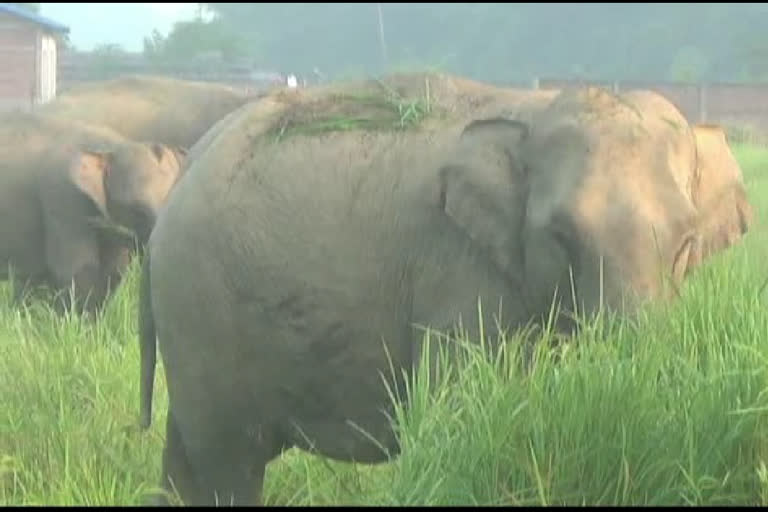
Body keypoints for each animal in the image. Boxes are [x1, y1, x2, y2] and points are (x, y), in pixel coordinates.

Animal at [135, 83, 728, 504]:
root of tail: (184, 171)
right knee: (227, 466)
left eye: (686, 241)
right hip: (201, 313)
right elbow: (463, 413)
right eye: (561, 237)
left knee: (184, 462)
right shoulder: (460, 274)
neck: (532, 112)